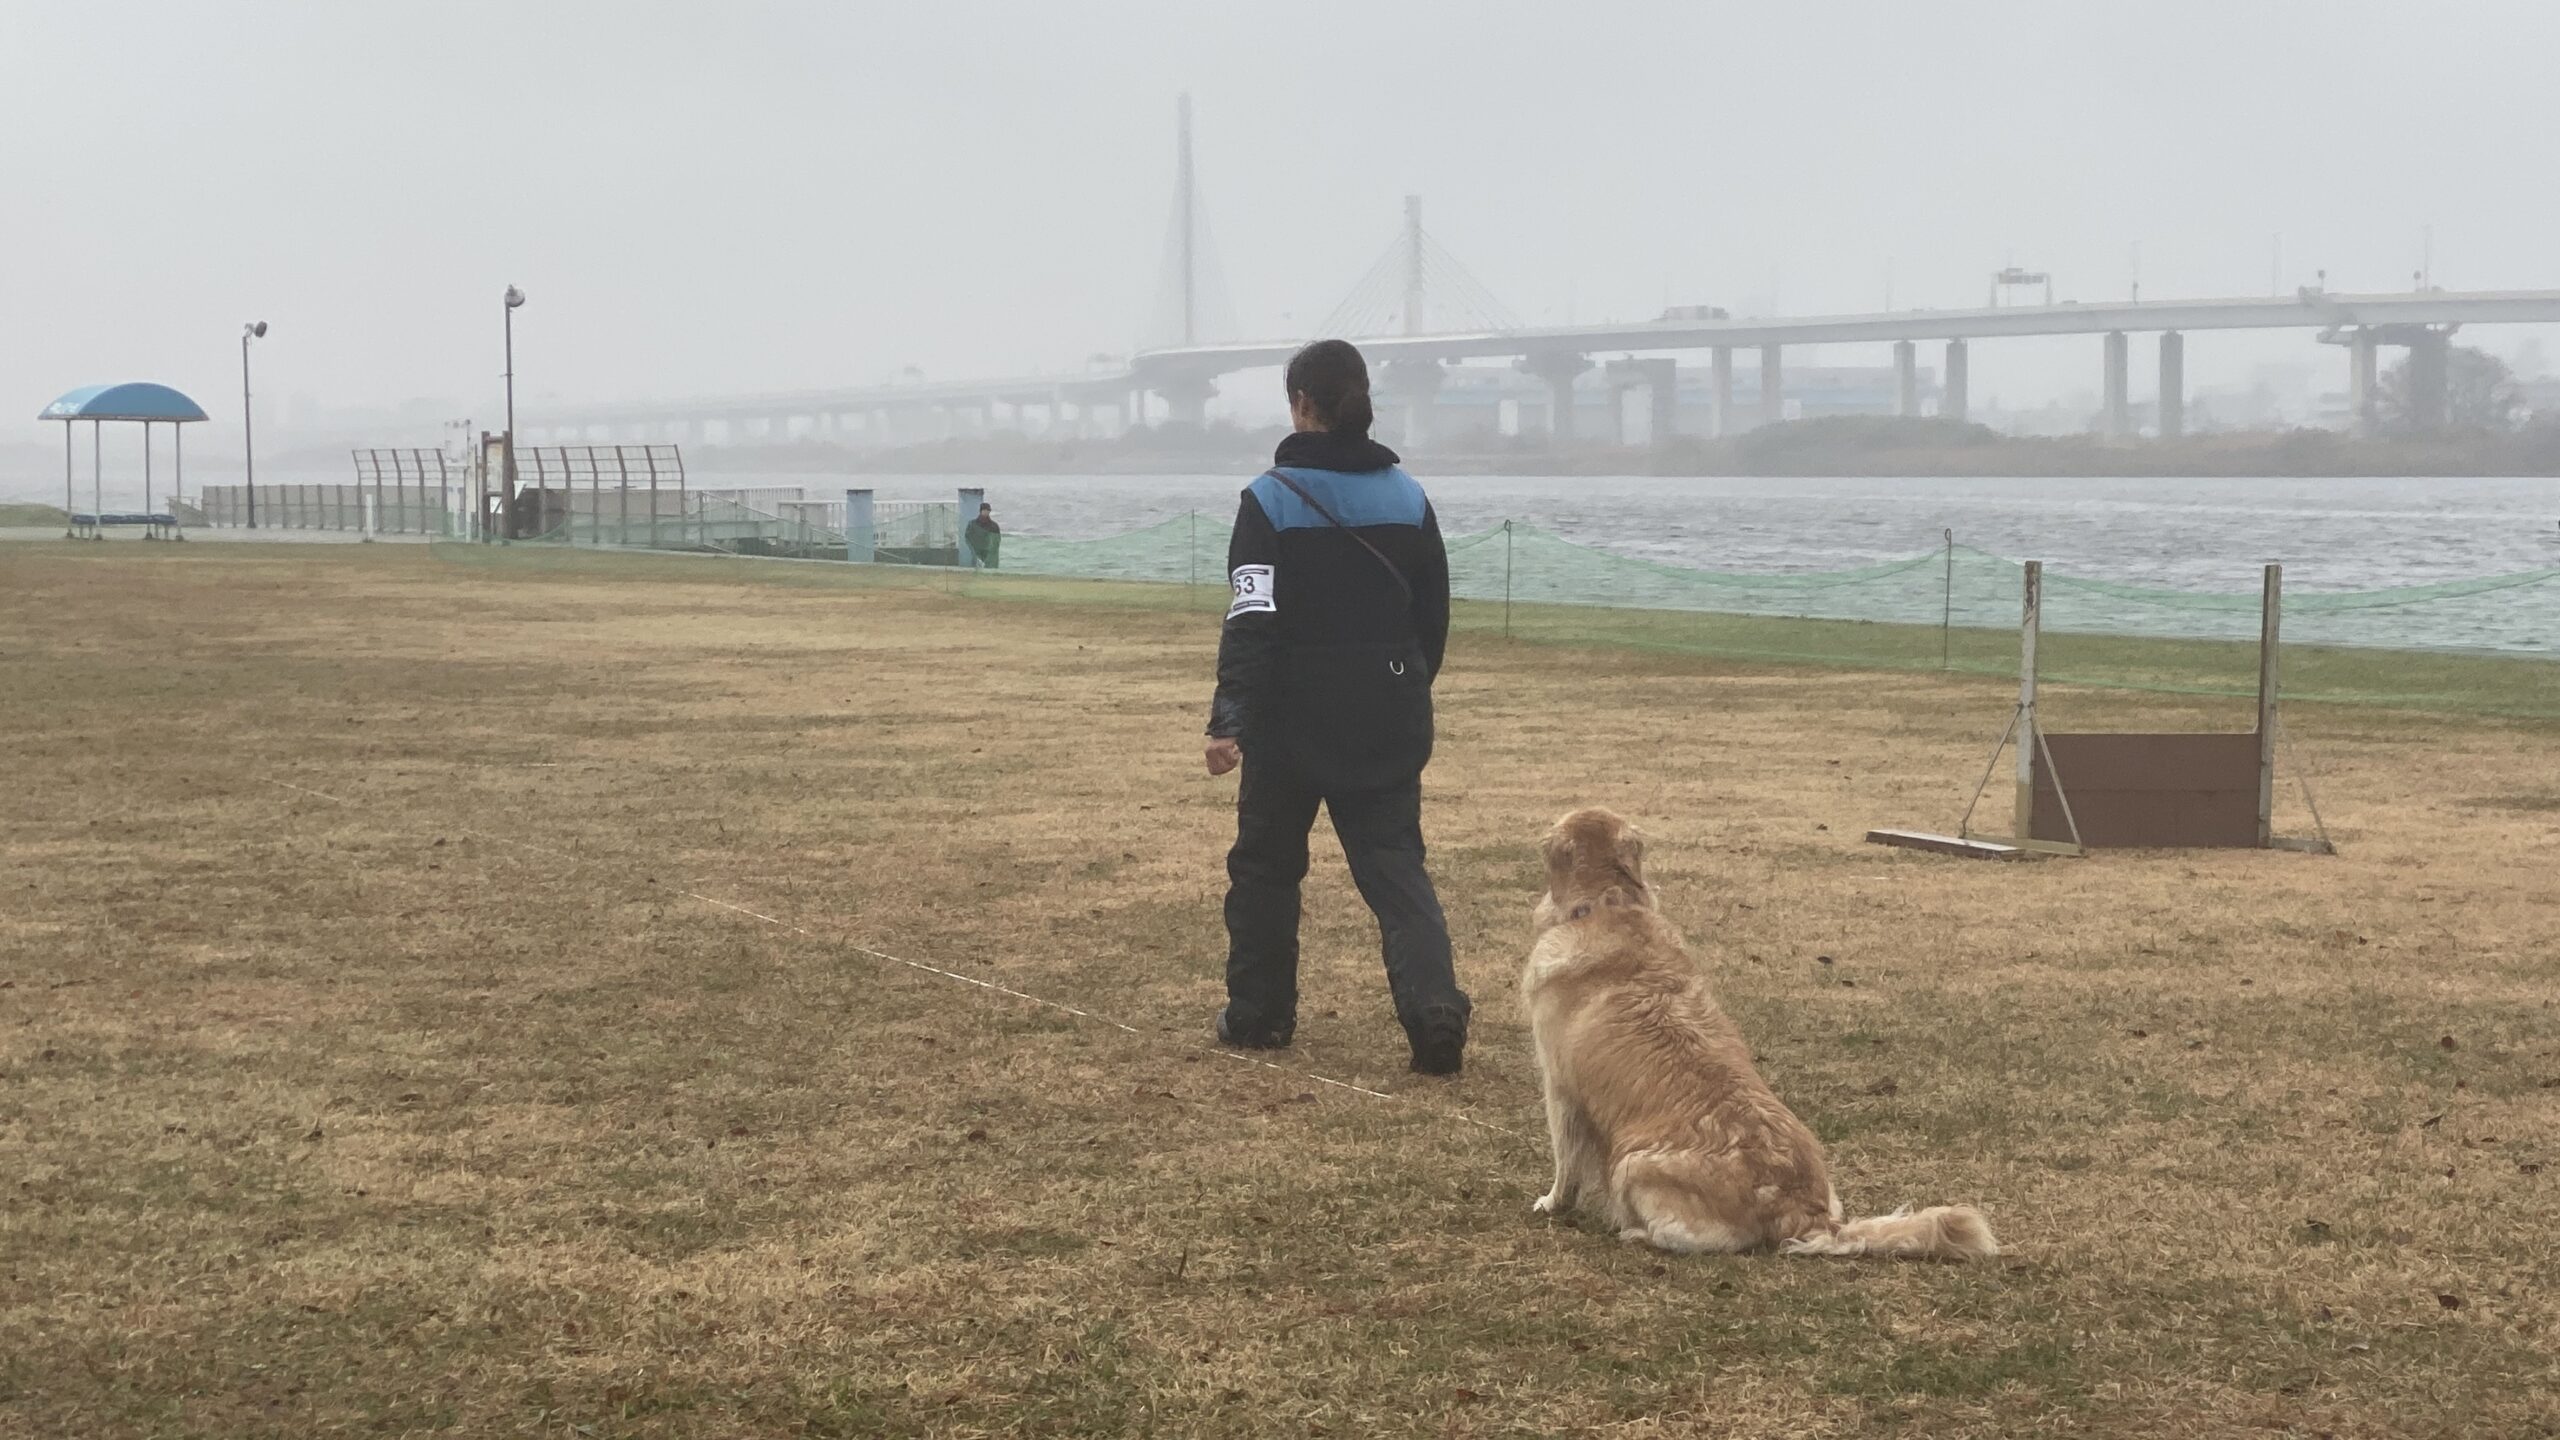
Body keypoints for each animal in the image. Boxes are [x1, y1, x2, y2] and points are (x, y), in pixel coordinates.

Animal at [1520, 807, 1998, 1260]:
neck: (1606, 903)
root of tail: (1805, 1213)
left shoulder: (1560, 1088)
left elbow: (1565, 1163)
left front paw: (1551, 1203)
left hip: (1631, 1166)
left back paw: (1636, 1233)